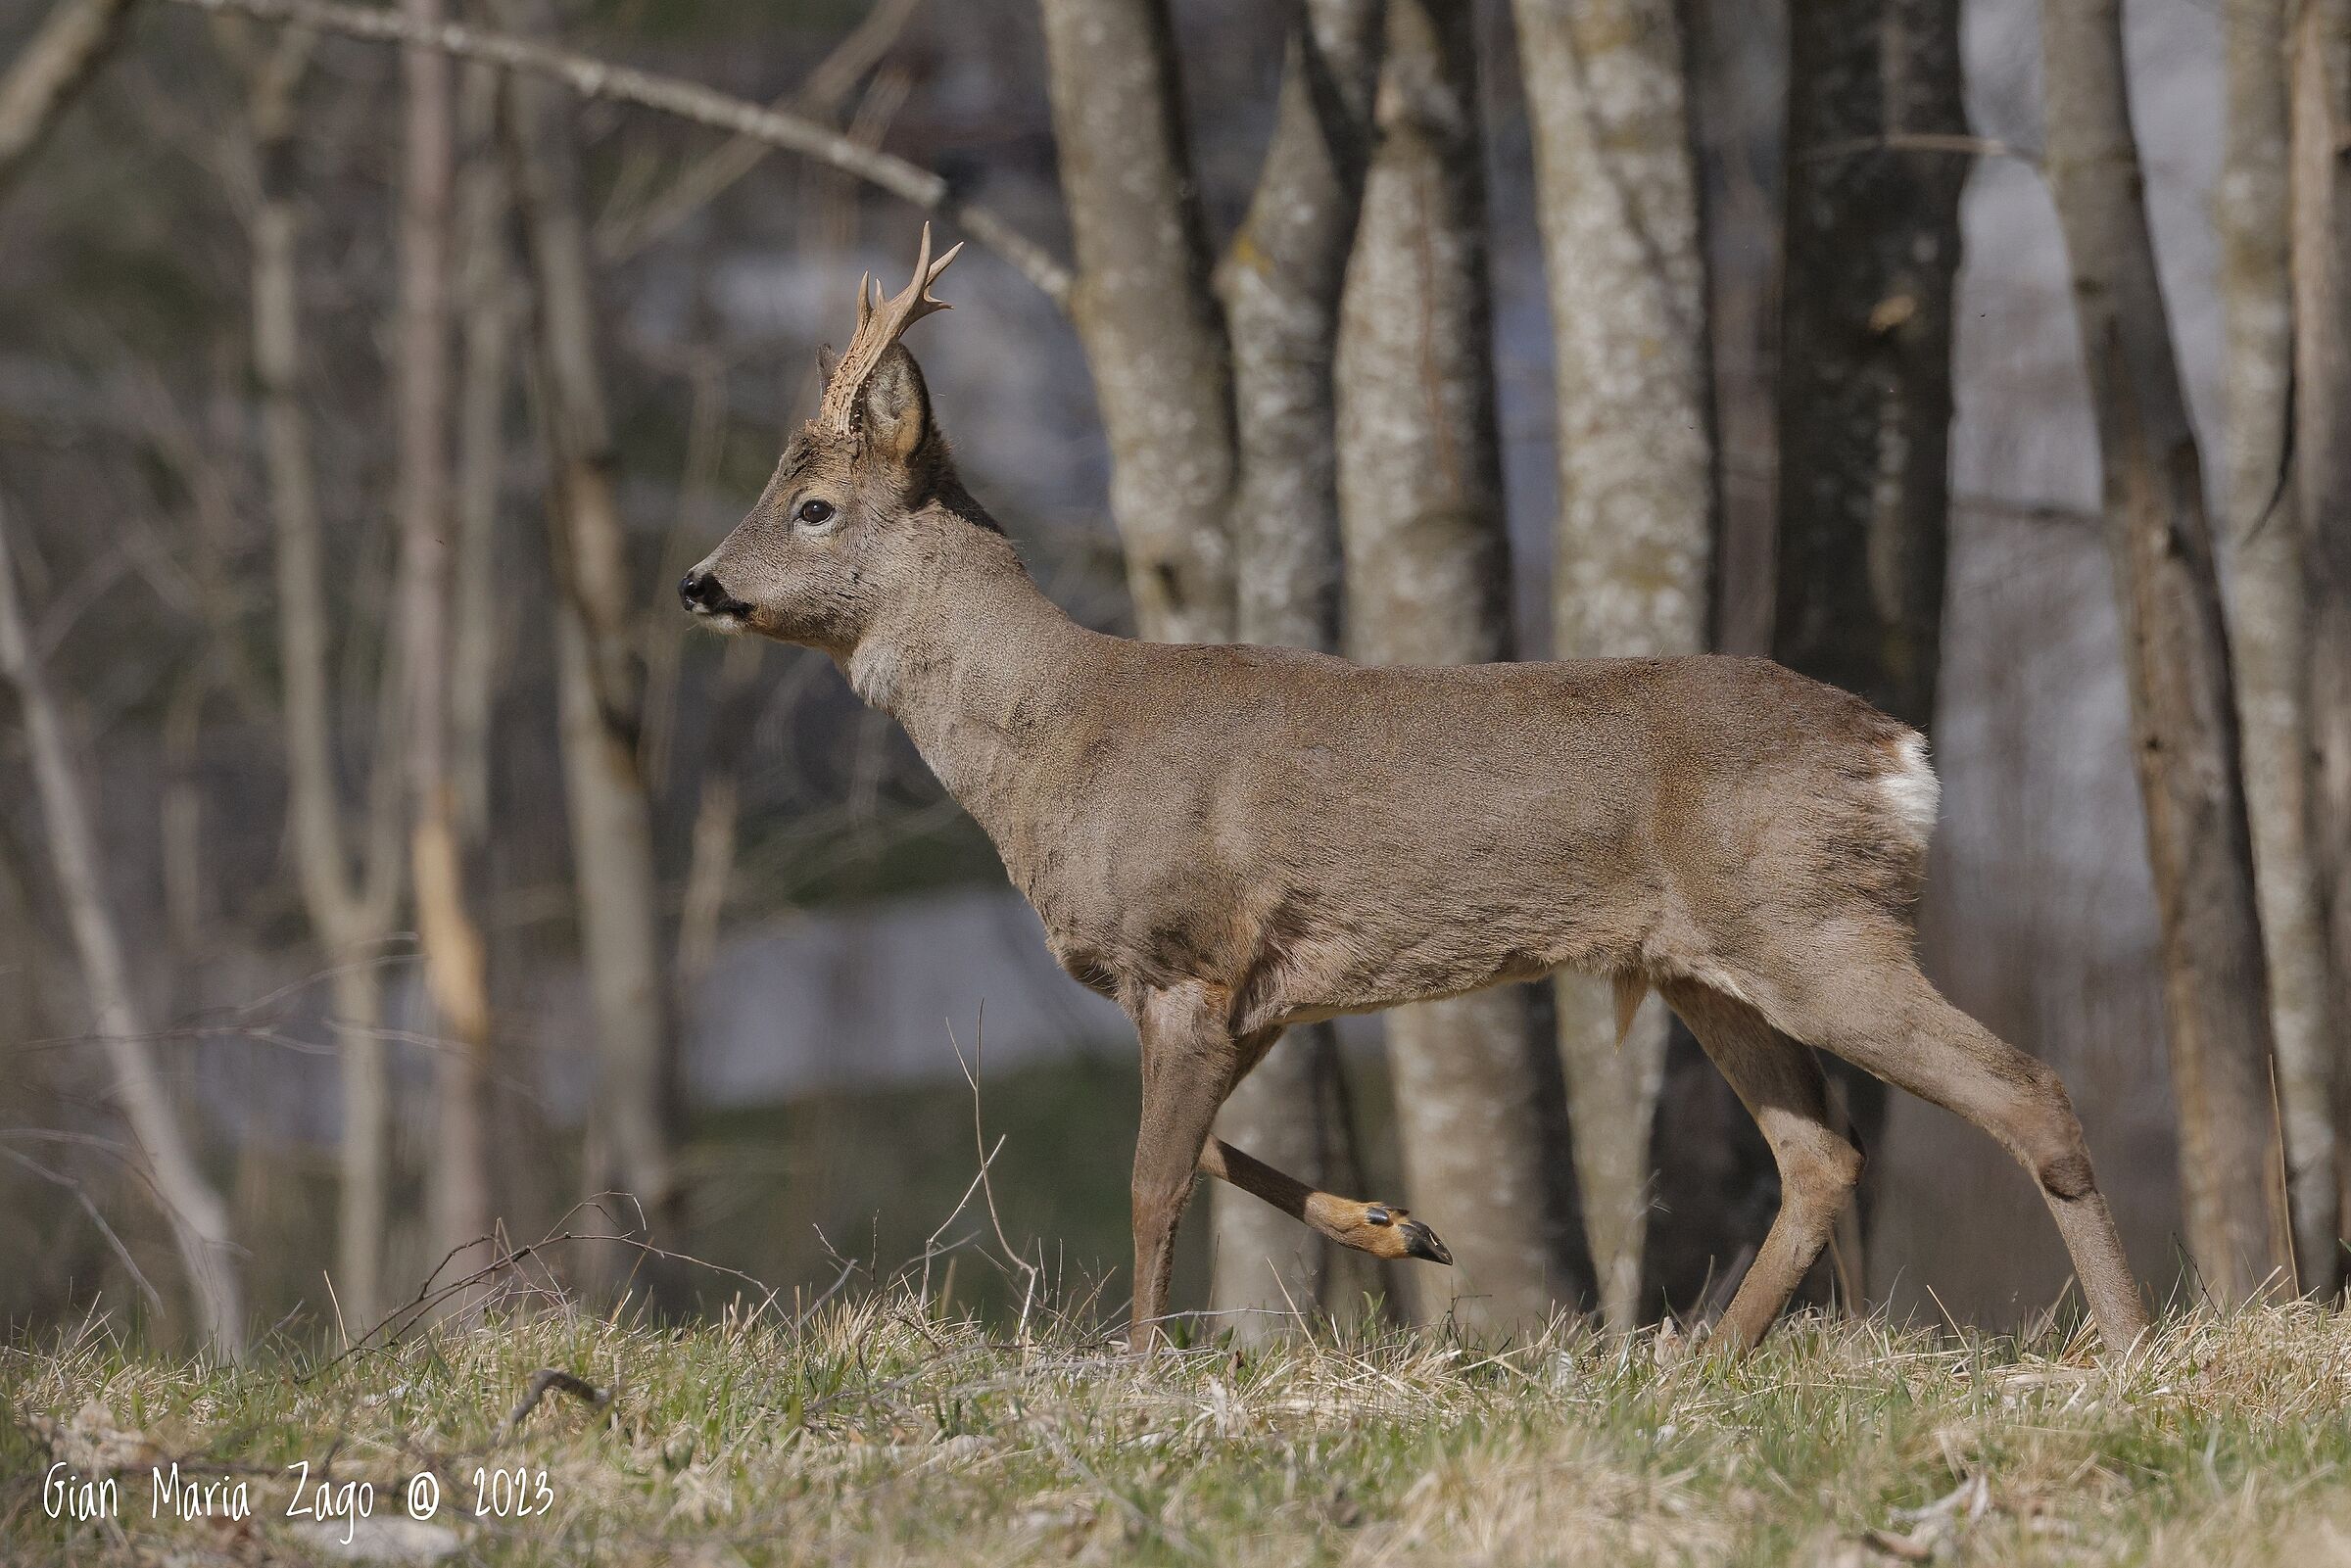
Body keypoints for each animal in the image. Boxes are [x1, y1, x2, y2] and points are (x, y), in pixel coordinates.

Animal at [680, 229, 2152, 1355]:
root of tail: (1902, 750)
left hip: (1814, 924)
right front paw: (1398, 1225)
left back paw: (2130, 1345)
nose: (699, 582)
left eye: (812, 505)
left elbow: (1156, 1181)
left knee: (2026, 1088)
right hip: (1707, 964)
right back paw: (1703, 1363)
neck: (1059, 738)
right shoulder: (1254, 990)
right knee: (1822, 1155)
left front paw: (1144, 1364)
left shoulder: (1187, 954)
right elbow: (1203, 1153)